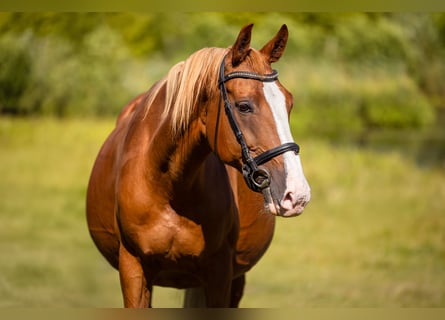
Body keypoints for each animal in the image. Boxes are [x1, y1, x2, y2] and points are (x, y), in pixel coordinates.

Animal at [86, 22, 308, 308]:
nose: (297, 194)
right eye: (244, 106)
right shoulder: (132, 267)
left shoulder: (220, 274)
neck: (168, 186)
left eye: (289, 103)